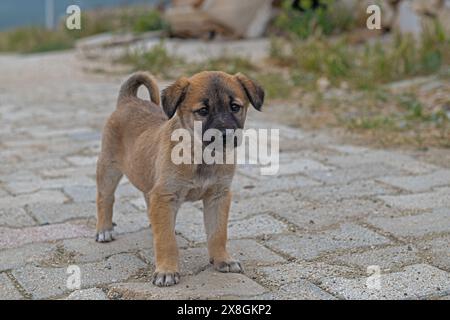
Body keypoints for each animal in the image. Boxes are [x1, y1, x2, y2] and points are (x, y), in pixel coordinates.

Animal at [95, 70, 264, 288]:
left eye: (235, 107)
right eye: (203, 110)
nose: (226, 135)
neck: (201, 156)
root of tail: (128, 100)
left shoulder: (218, 196)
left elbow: (218, 233)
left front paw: (223, 259)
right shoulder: (165, 195)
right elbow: (166, 240)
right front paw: (167, 270)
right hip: (109, 168)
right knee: (105, 199)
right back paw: (104, 229)